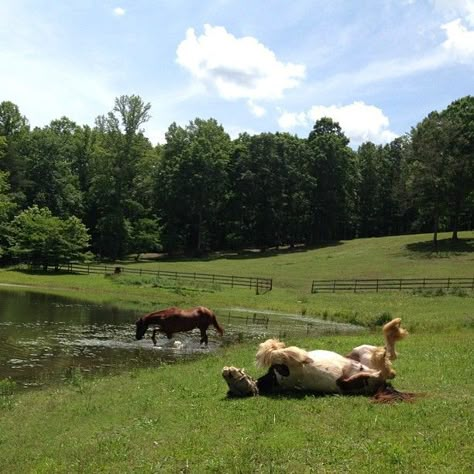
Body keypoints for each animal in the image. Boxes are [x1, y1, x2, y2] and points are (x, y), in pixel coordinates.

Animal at [224, 318, 412, 400]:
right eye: (235, 385)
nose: (226, 371)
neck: (274, 379)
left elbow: (273, 348)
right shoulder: (286, 367)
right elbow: (274, 352)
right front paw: (301, 355)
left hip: (360, 351)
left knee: (388, 355)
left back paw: (394, 327)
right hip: (367, 374)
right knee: (387, 362)